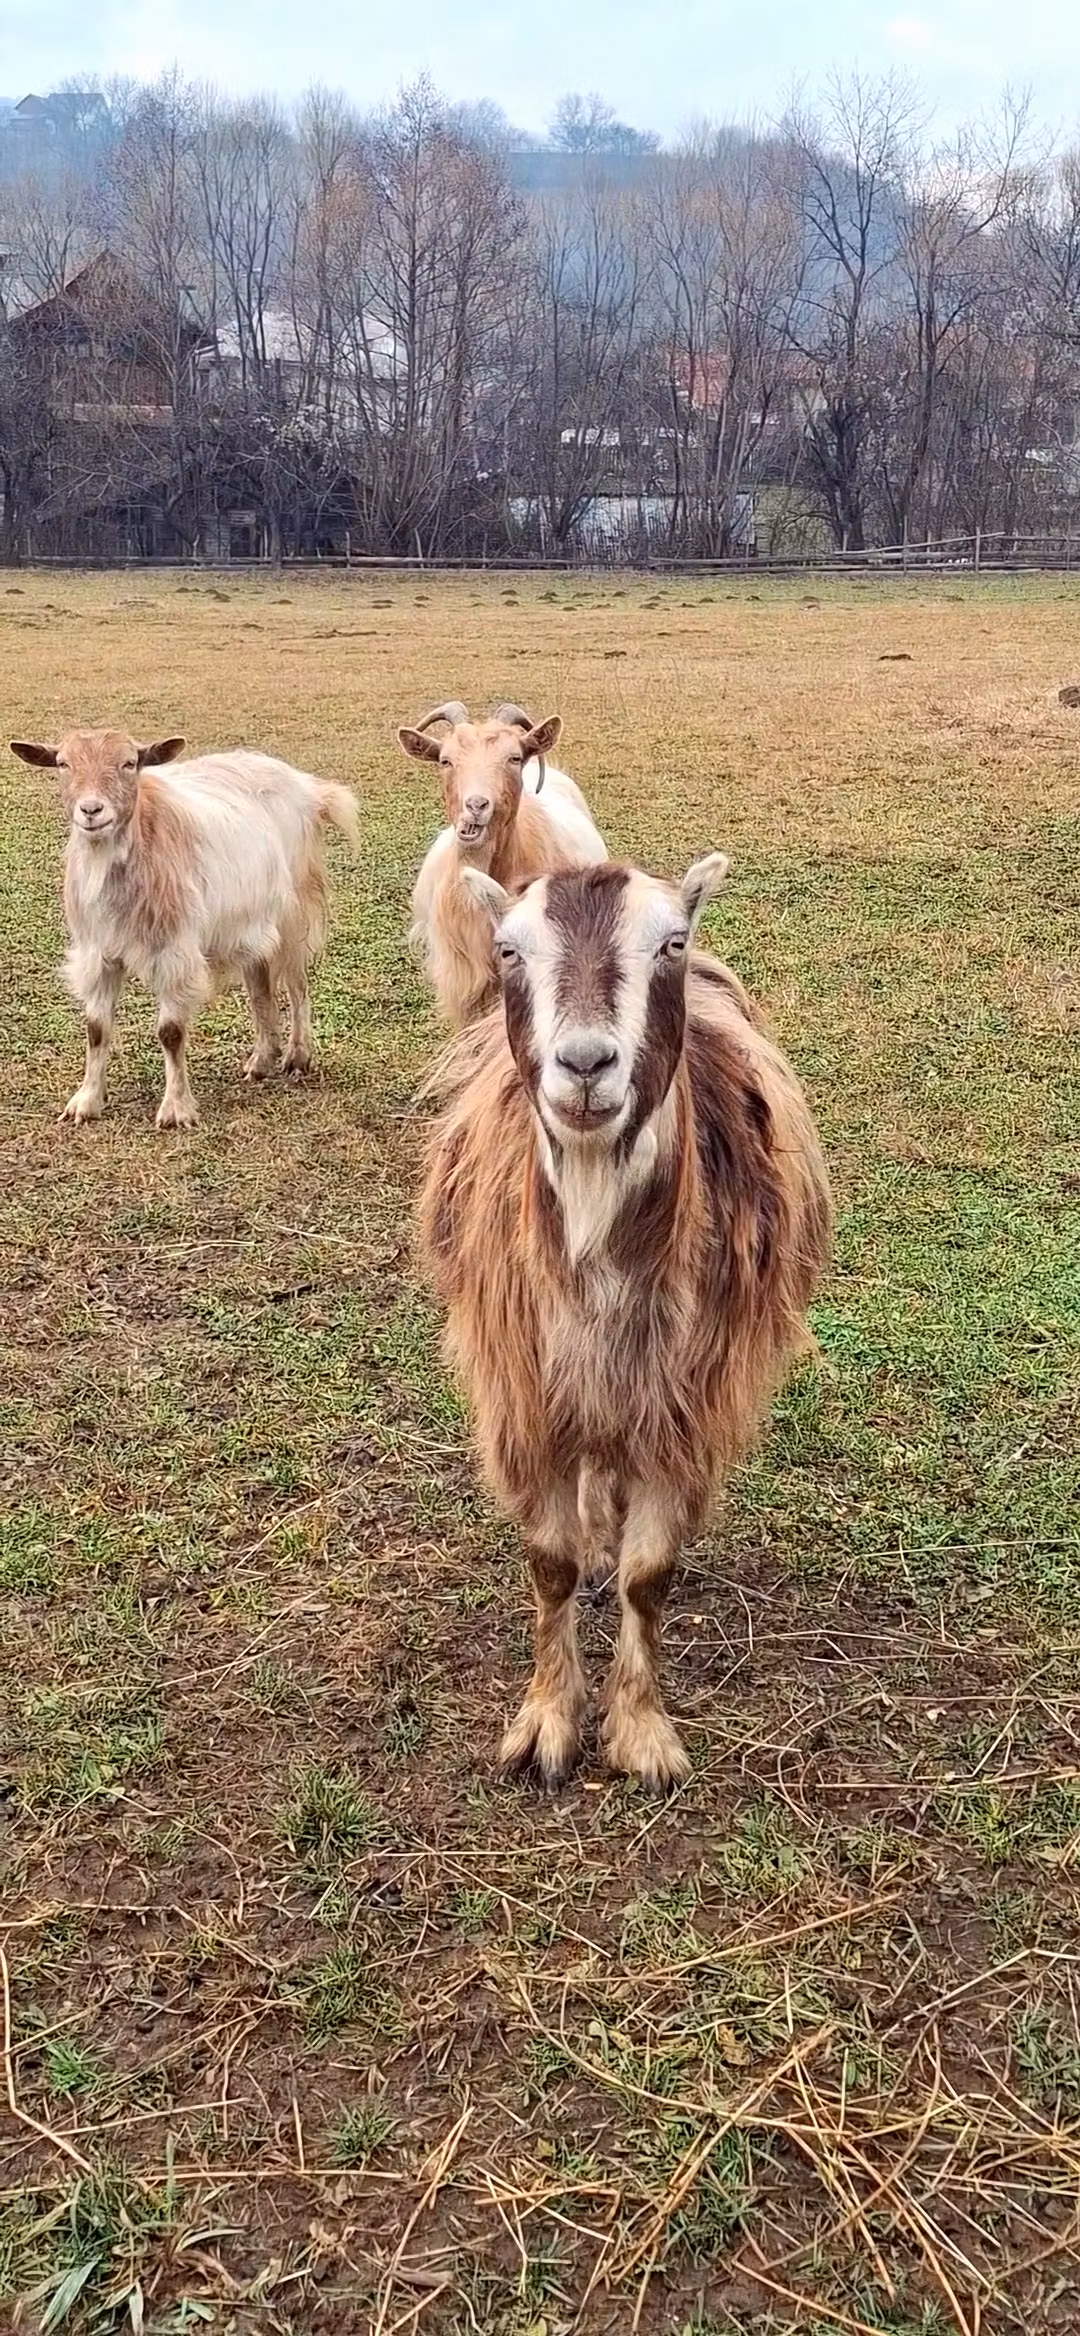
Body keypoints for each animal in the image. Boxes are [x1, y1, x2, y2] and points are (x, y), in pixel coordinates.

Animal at [10, 728, 360, 1129]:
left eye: (130, 763)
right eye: (63, 763)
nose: (92, 810)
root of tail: (307, 786)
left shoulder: (174, 950)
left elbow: (171, 1032)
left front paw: (175, 1109)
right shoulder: (97, 953)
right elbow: (96, 1028)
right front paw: (85, 1102)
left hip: (294, 907)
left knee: (296, 980)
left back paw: (298, 1056)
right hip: (250, 922)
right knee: (259, 986)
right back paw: (261, 1061)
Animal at [418, 856, 832, 1791]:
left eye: (670, 942)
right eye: (507, 949)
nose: (584, 1064)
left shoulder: (683, 1407)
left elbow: (651, 1575)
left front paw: (641, 1734)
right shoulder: (526, 1396)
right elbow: (551, 1564)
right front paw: (545, 1724)